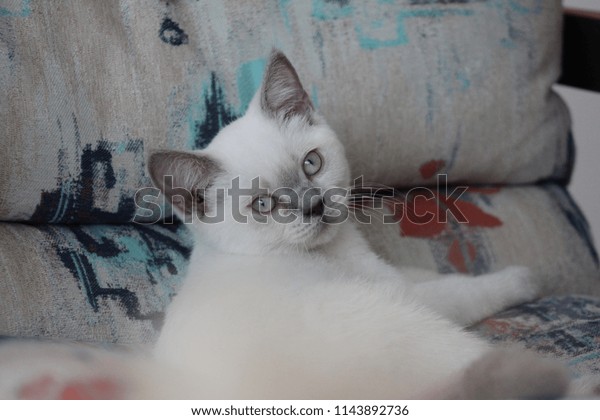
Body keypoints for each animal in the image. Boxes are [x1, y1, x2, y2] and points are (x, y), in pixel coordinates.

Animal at [145, 50, 568, 398]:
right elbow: (470, 288)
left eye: (311, 163)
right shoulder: (411, 297)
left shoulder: (394, 277)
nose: (314, 205)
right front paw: (527, 279)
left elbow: (425, 273)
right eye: (263, 205)